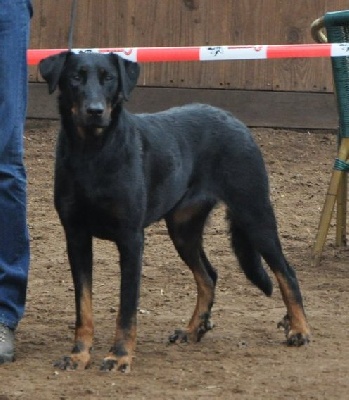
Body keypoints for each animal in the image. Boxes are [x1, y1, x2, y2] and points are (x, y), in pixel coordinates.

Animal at [38, 52, 310, 372]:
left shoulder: (131, 239)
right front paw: (79, 354)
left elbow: (126, 308)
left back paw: (299, 329)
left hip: (254, 215)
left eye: (109, 78)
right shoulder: (76, 236)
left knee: (286, 272)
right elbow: (83, 307)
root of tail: (234, 120)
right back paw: (194, 329)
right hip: (183, 228)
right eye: (75, 78)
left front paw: (119, 356)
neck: (92, 152)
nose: (95, 111)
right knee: (208, 275)